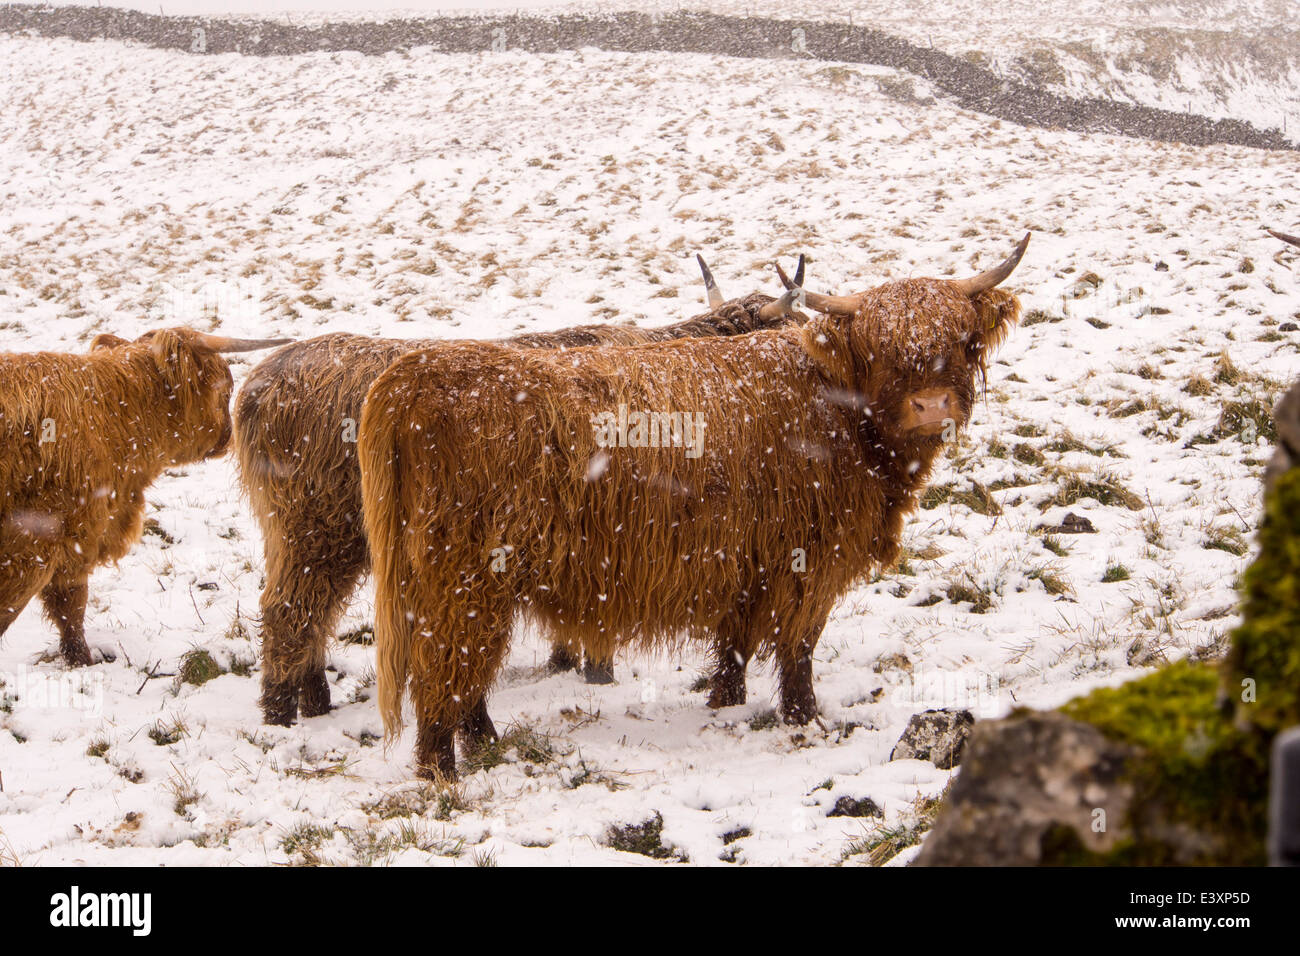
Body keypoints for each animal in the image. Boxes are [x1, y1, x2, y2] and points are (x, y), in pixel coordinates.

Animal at [232, 257, 800, 728]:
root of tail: (259, 384)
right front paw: (596, 668)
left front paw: (567, 659)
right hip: (318, 532)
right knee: (288, 613)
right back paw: (281, 712)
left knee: (309, 615)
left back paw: (313, 700)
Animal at [361, 235, 1029, 780]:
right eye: (882, 349)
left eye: (962, 341)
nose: (933, 406)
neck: (841, 412)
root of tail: (414, 374)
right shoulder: (807, 557)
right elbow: (799, 646)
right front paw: (805, 719)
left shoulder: (745, 557)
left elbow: (736, 642)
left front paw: (724, 703)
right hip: (463, 573)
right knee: (447, 664)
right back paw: (444, 769)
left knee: (462, 667)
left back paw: (484, 746)